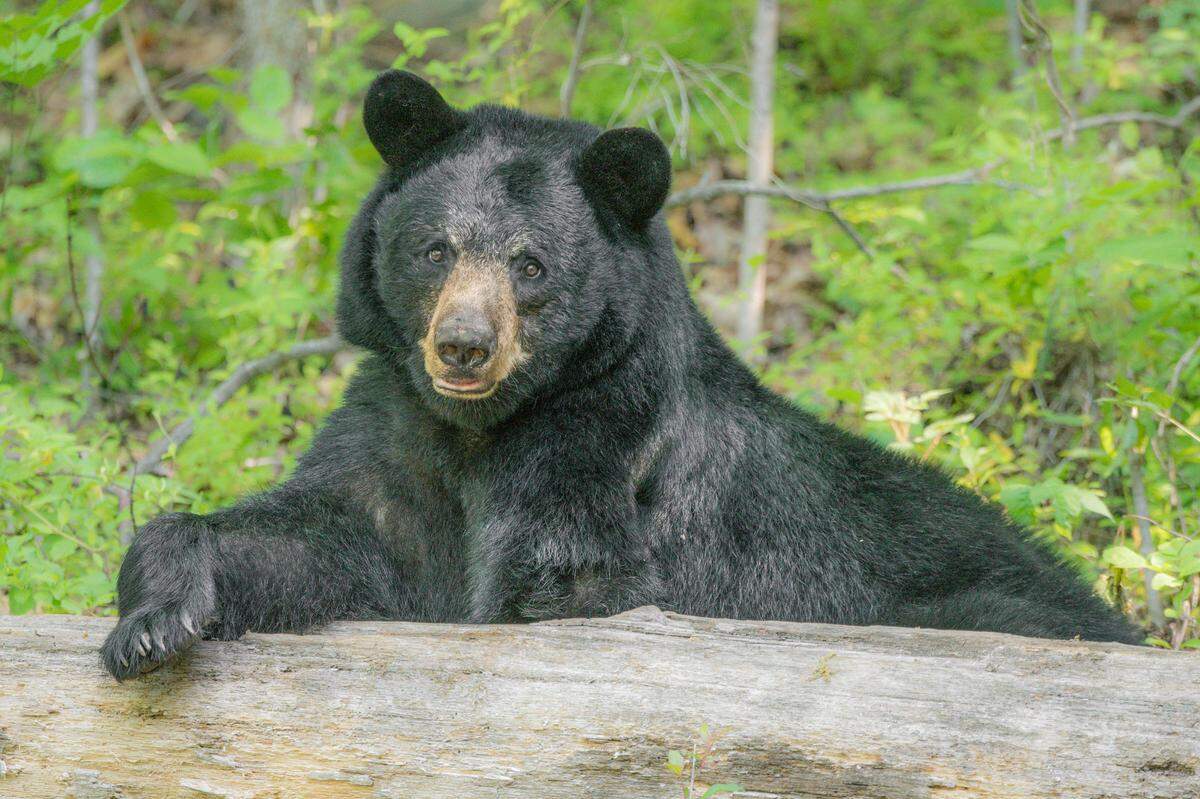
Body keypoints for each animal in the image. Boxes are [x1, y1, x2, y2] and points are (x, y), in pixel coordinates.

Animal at [100, 70, 1141, 680]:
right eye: (436, 248)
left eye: (529, 264)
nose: (463, 346)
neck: (482, 427)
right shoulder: (395, 441)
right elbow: (319, 533)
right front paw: (155, 615)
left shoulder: (599, 446)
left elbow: (567, 584)